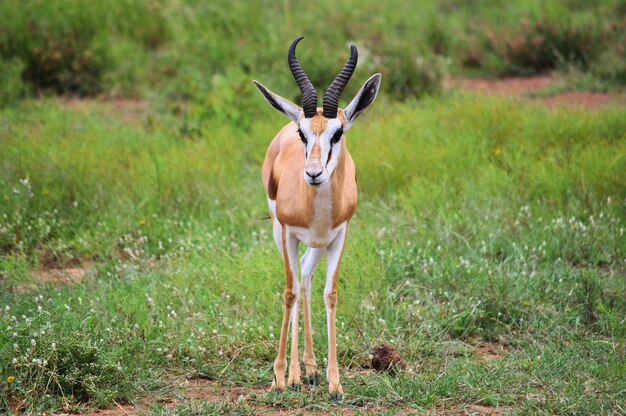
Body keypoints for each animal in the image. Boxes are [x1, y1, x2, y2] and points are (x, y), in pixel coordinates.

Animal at [252, 36, 380, 400]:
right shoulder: (288, 234)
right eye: (303, 135)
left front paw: (334, 383)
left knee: (307, 277)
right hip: (281, 235)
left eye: (338, 133)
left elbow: (330, 293)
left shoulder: (338, 236)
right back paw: (296, 374)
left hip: (318, 245)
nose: (313, 173)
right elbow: (289, 292)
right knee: (297, 282)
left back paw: (309, 369)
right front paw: (280, 377)